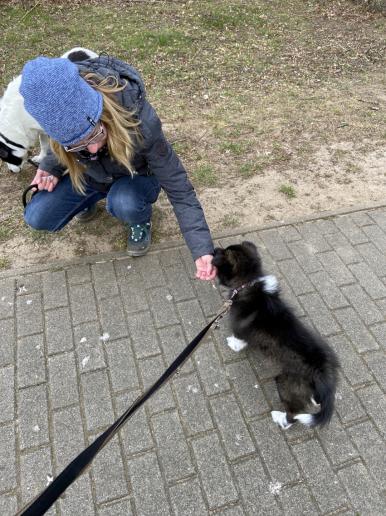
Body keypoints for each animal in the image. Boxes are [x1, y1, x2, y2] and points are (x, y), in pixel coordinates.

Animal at [213, 241, 340, 428]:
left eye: (222, 253)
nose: (214, 249)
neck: (249, 283)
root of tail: (322, 374)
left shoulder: (239, 328)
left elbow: (238, 339)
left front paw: (233, 344)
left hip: (287, 385)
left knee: (293, 414)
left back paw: (280, 418)